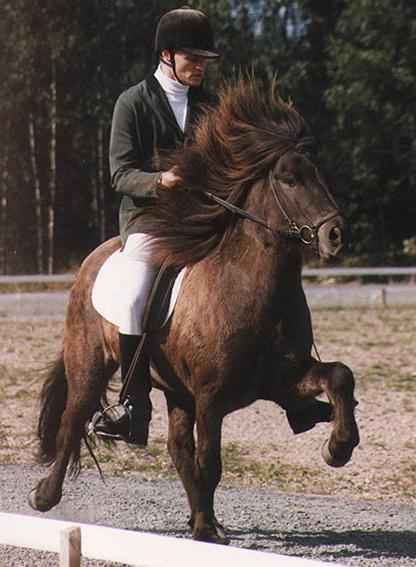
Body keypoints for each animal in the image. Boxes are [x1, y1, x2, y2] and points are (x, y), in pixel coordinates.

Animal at [29, 79, 359, 544]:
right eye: (290, 179)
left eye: (320, 174)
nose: (335, 236)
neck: (255, 288)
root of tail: (92, 261)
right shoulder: (211, 396)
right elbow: (212, 463)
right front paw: (205, 532)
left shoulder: (279, 379)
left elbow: (340, 375)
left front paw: (338, 446)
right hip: (89, 364)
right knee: (73, 422)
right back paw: (46, 495)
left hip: (177, 391)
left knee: (178, 449)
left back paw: (203, 518)